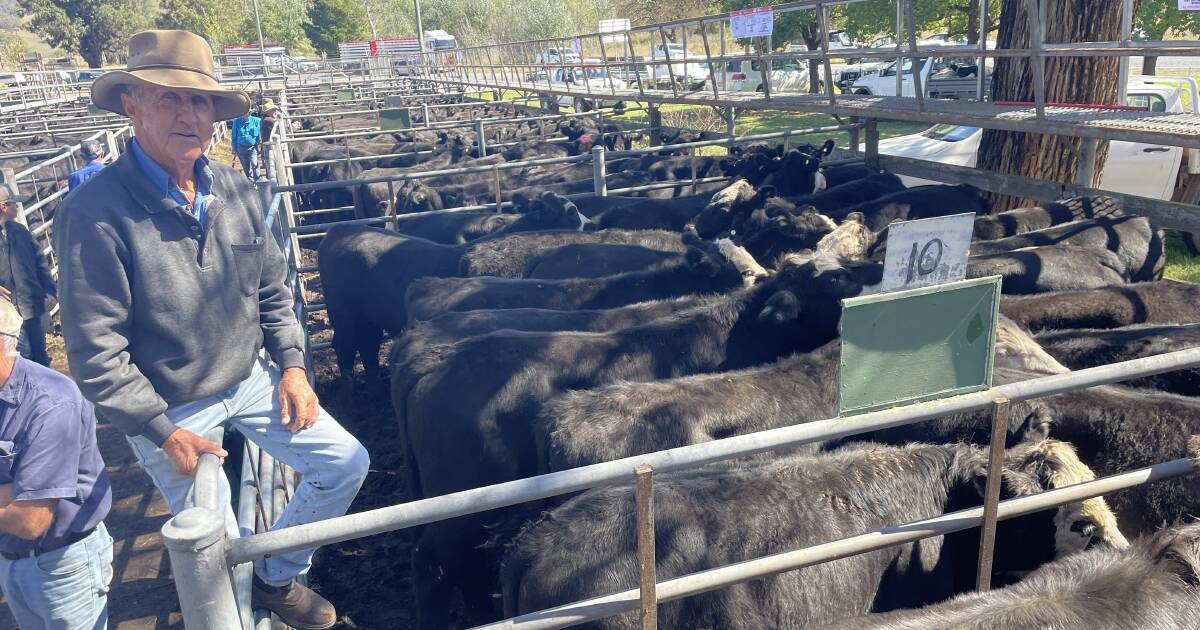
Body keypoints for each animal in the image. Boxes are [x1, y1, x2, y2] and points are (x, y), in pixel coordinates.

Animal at [398, 253, 878, 624]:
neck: (736, 331)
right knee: (431, 561)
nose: (872, 268)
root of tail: (437, 360)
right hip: (460, 507)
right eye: (833, 278)